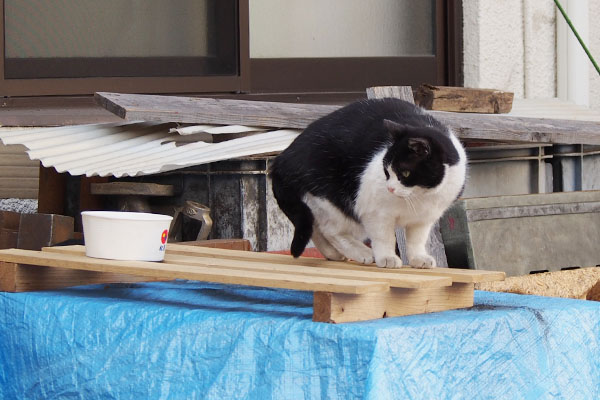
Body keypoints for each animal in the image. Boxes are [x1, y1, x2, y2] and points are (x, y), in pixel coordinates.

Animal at [270, 97, 466, 268]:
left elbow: (416, 240)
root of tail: (282, 158)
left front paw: (418, 259)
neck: (420, 196)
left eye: (405, 173)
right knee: (330, 229)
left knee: (314, 226)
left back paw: (333, 254)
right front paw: (387, 258)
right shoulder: (376, 212)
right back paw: (362, 253)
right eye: (386, 171)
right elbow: (384, 237)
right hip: (333, 199)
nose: (390, 188)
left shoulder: (424, 219)